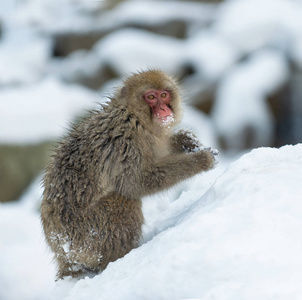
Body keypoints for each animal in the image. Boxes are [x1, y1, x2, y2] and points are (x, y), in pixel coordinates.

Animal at [41, 69, 218, 278]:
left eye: (164, 95)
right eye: (151, 97)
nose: (163, 110)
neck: (134, 117)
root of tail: (61, 253)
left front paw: (187, 140)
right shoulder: (124, 142)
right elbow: (137, 182)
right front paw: (201, 160)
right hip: (87, 235)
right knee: (123, 201)